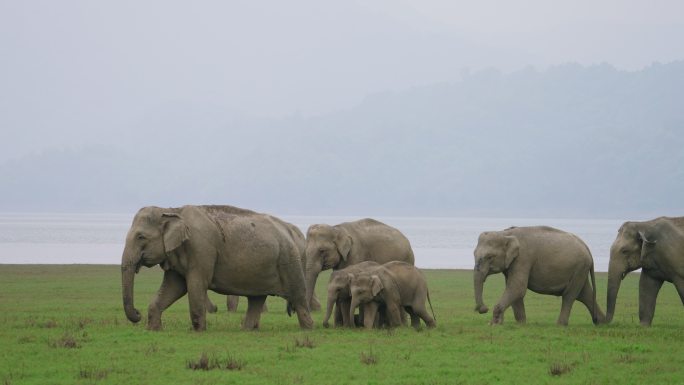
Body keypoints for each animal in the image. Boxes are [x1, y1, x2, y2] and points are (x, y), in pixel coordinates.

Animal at [121, 204, 314, 330]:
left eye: (140, 237)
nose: (137, 313)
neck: (172, 210)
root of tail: (291, 231)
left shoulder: (201, 249)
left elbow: (196, 284)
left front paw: (198, 331)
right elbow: (173, 287)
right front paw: (154, 329)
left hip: (289, 260)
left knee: (298, 297)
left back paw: (308, 328)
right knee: (256, 299)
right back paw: (247, 330)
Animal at [472, 225, 608, 324]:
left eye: (490, 257)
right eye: (474, 254)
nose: (484, 309)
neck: (504, 233)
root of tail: (587, 248)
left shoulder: (523, 258)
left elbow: (517, 287)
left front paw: (494, 324)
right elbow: (514, 289)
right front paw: (521, 323)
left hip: (579, 268)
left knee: (569, 296)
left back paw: (560, 325)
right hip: (580, 270)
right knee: (585, 295)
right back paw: (601, 322)